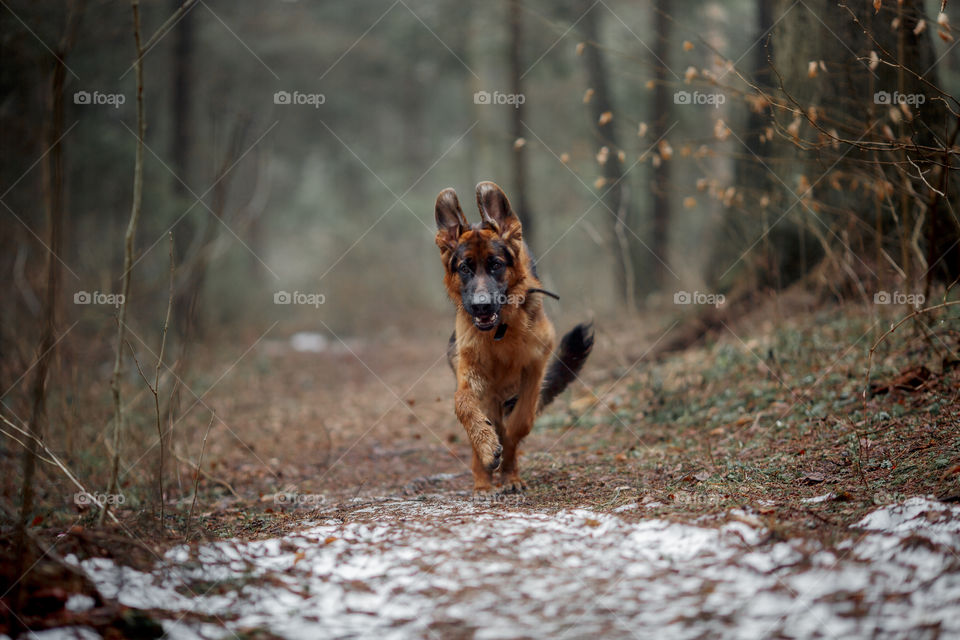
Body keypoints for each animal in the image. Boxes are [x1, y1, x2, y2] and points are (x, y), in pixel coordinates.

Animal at [436, 182, 592, 492]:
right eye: (464, 268)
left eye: (496, 265)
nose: (482, 306)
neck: (501, 332)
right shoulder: (471, 373)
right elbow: (463, 405)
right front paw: (487, 448)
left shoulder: (535, 364)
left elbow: (521, 421)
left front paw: (508, 460)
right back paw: (483, 481)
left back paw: (508, 471)